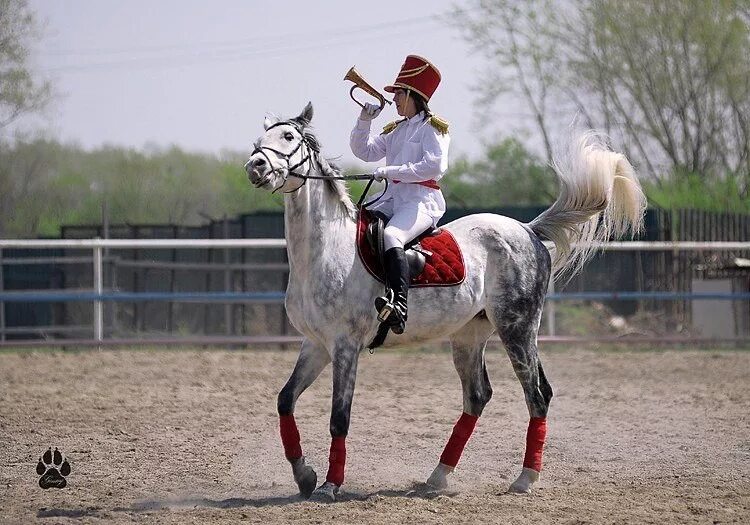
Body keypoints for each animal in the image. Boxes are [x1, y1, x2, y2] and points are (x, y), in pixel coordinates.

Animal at [245, 101, 648, 500]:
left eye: (289, 137)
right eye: (258, 139)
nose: (255, 166)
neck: (326, 249)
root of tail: (527, 230)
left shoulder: (345, 347)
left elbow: (339, 418)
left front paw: (331, 485)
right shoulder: (316, 344)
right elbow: (285, 400)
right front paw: (304, 476)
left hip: (517, 330)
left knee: (537, 393)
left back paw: (524, 479)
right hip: (469, 336)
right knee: (478, 396)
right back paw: (437, 477)